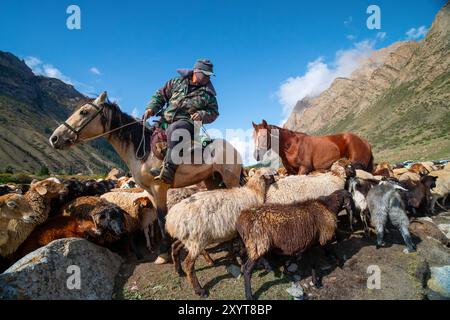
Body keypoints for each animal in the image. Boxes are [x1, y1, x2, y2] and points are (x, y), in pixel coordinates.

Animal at [49, 91, 243, 264]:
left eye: (84, 112)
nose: (54, 138)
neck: (143, 150)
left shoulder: (159, 188)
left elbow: (162, 218)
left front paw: (164, 252)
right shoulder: (149, 191)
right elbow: (158, 218)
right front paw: (164, 252)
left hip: (230, 180)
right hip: (211, 180)